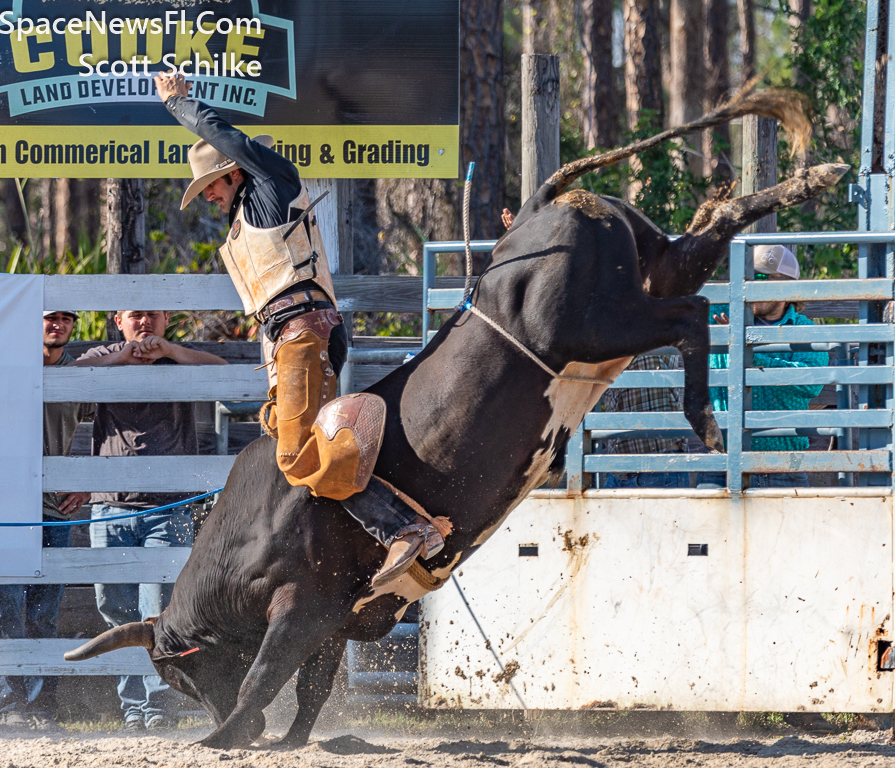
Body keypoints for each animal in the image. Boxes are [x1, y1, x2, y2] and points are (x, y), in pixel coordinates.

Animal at [65, 87, 848, 748]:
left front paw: (224, 737)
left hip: (595, 324)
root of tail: (537, 212)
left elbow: (265, 674)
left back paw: (704, 419)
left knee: (688, 316)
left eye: (181, 674)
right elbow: (311, 689)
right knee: (709, 240)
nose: (211, 715)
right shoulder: (333, 618)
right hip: (649, 274)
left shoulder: (300, 605)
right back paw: (813, 178)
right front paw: (287, 740)